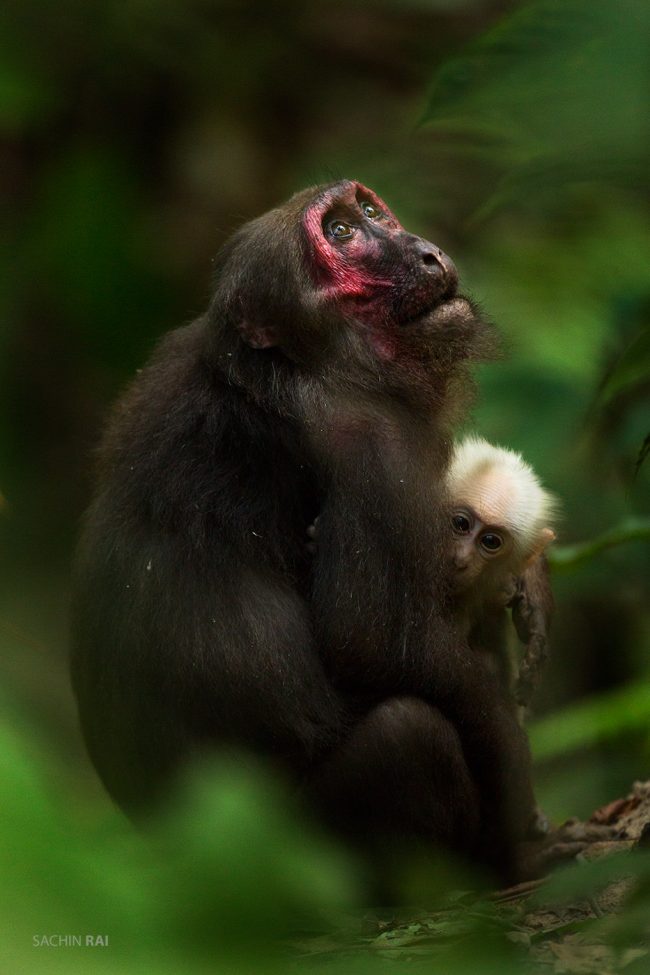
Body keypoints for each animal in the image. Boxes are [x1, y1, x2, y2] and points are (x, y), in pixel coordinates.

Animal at [71, 179, 538, 888]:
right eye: (340, 234)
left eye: (369, 212)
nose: (423, 251)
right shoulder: (372, 444)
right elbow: (379, 645)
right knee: (409, 736)